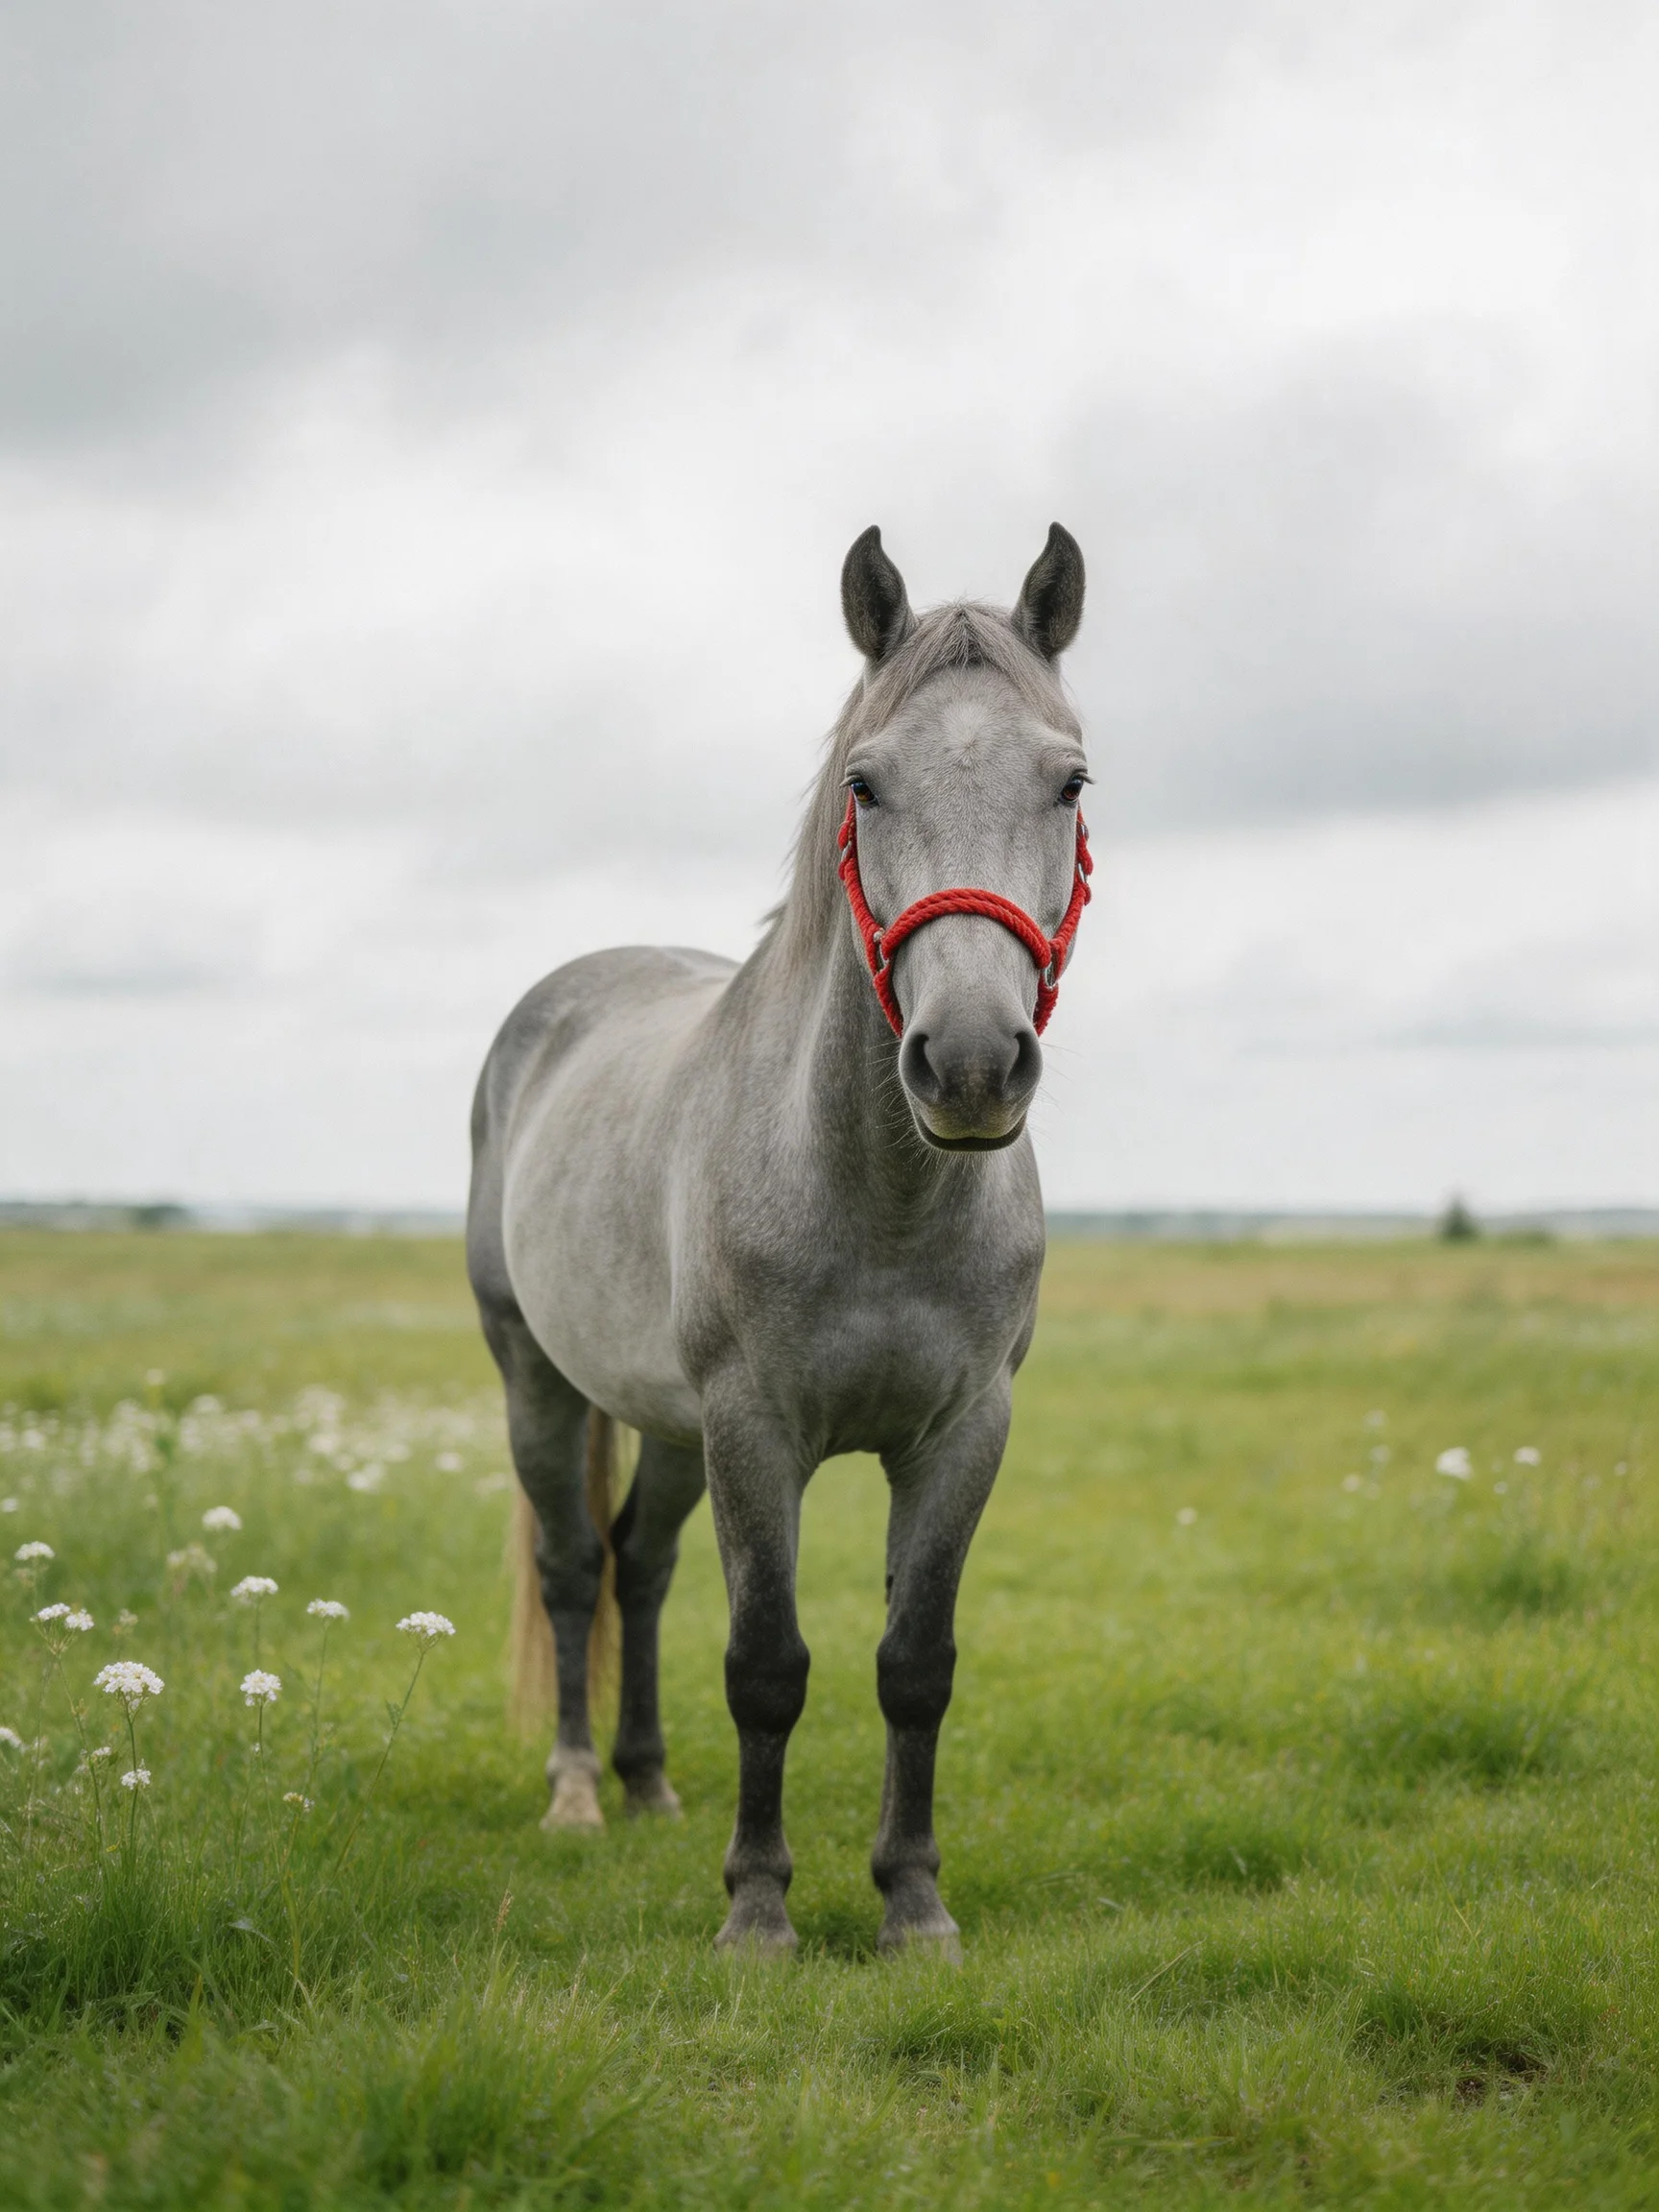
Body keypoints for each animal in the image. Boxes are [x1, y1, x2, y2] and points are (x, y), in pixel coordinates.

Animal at [467, 522, 1091, 1955]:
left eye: (1069, 780)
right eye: (866, 783)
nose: (970, 1066)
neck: (881, 1199)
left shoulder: (962, 1431)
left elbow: (915, 1667)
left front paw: (914, 1904)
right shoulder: (756, 1427)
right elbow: (767, 1666)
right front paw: (758, 1910)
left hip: (667, 1423)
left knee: (639, 1567)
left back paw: (647, 1785)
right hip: (539, 1377)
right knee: (576, 1568)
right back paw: (578, 1792)